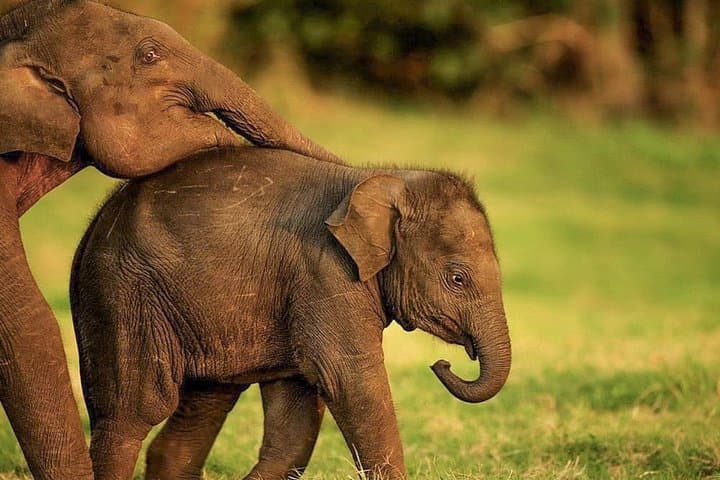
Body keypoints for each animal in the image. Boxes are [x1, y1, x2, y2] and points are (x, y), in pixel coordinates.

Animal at [70, 147, 512, 480]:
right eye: (457, 279)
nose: (441, 364)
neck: (376, 178)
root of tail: (93, 225)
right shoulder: (323, 273)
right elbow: (348, 379)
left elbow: (296, 419)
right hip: (122, 298)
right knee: (130, 415)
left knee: (201, 410)